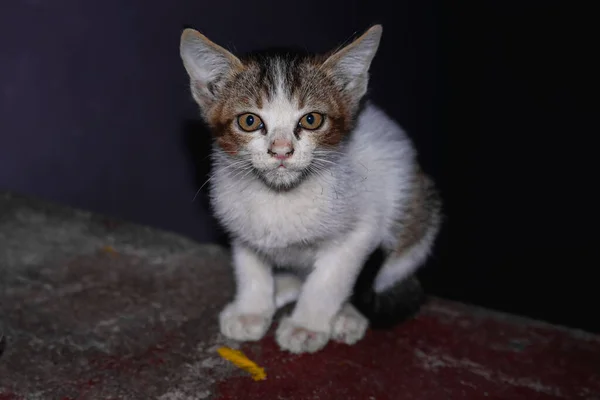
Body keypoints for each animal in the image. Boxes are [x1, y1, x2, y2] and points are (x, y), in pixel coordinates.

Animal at [178, 25, 440, 354]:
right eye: (249, 121)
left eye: (311, 120)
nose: (281, 150)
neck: (280, 196)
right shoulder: (238, 220)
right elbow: (249, 265)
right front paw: (252, 309)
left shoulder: (362, 230)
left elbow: (329, 280)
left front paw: (307, 325)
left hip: (417, 211)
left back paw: (345, 314)